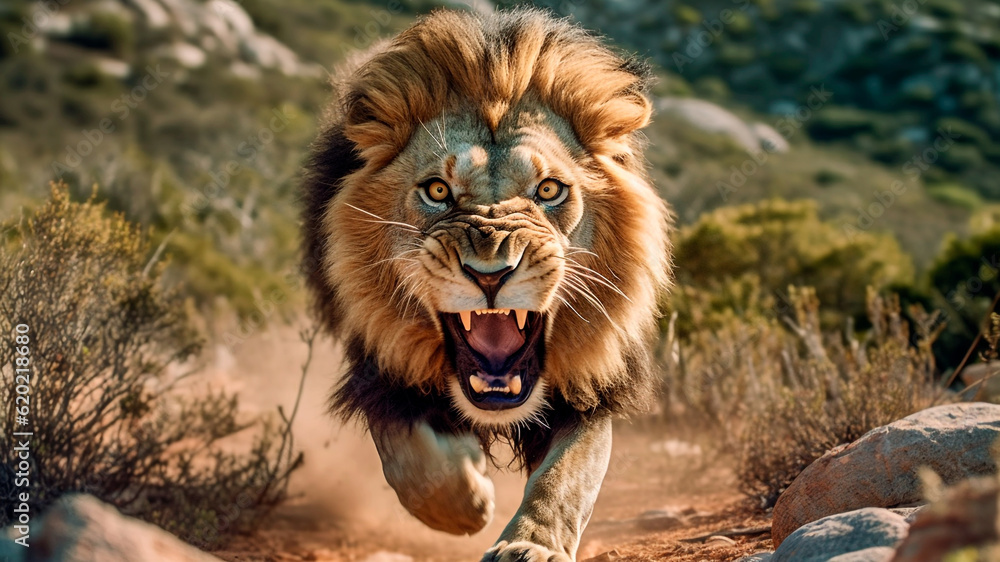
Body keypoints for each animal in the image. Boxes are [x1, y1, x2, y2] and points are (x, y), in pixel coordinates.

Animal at [301, 8, 671, 561]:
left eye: (548, 190)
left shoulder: (588, 390)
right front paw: (466, 502)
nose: (490, 273)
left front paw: (531, 545)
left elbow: (566, 478)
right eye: (437, 191)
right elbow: (408, 459)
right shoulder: (379, 367)